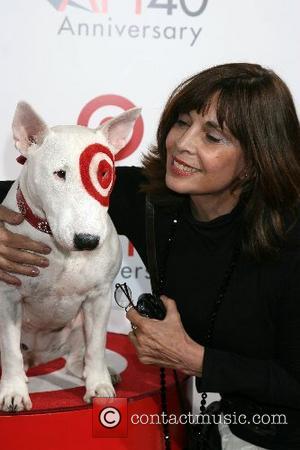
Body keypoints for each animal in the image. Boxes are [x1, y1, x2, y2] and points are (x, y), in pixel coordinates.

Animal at [0, 102, 140, 412]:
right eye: (59, 173)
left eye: (104, 173)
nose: (87, 241)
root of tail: (40, 357)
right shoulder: (8, 297)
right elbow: (10, 350)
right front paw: (14, 392)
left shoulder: (99, 297)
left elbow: (97, 345)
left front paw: (99, 386)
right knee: (18, 353)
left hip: (77, 327)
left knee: (79, 356)